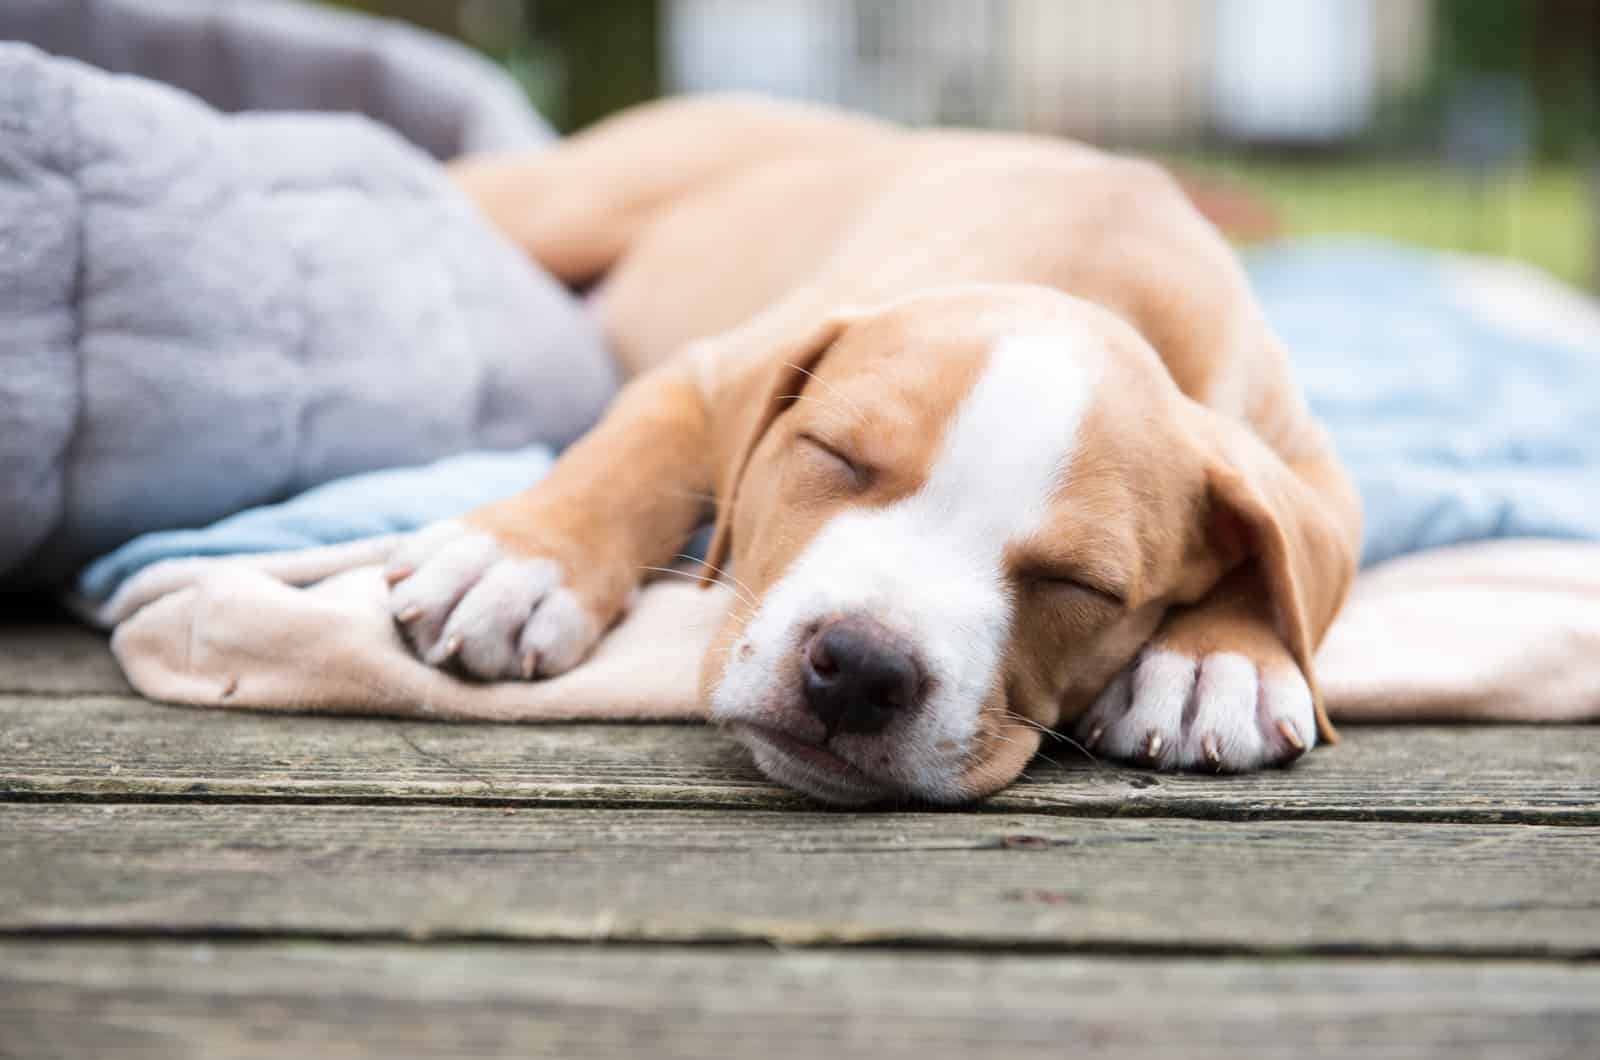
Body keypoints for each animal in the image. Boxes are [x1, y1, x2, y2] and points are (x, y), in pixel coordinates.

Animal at [380, 97, 1356, 807]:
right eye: (834, 454)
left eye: (1079, 585)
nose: (859, 670)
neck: (1094, 280)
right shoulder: (712, 370)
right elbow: (632, 461)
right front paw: (515, 561)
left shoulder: (1309, 466)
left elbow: (1288, 566)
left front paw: (1219, 665)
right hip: (571, 199)